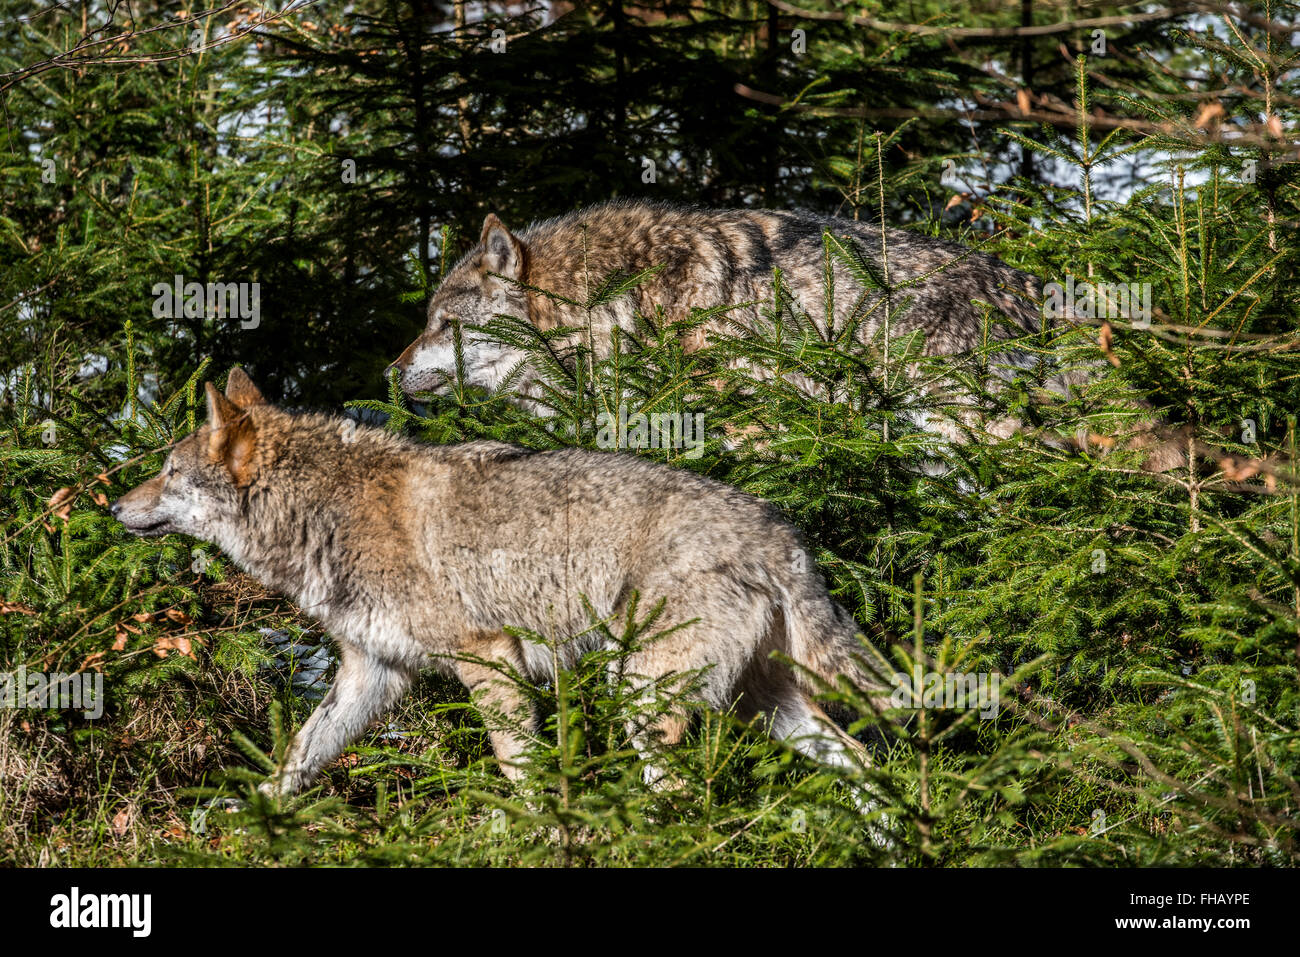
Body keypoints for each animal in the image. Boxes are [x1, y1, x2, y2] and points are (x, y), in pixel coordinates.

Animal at [114, 369, 873, 795]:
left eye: (169, 472)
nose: (115, 505)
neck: (326, 512)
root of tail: (779, 534)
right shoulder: (371, 672)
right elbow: (297, 757)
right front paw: (250, 822)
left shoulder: (489, 658)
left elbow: (519, 769)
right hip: (763, 704)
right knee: (863, 760)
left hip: (644, 694)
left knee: (683, 794)